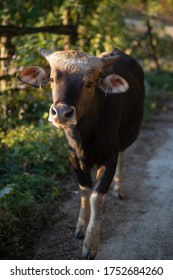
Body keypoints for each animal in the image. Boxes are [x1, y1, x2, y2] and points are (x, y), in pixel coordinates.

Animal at [17, 47, 145, 260]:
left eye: (89, 83)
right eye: (52, 79)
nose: (61, 113)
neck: (83, 135)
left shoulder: (109, 156)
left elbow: (96, 196)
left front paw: (90, 244)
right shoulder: (73, 158)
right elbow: (84, 190)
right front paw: (80, 228)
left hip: (126, 138)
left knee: (123, 156)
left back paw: (119, 189)